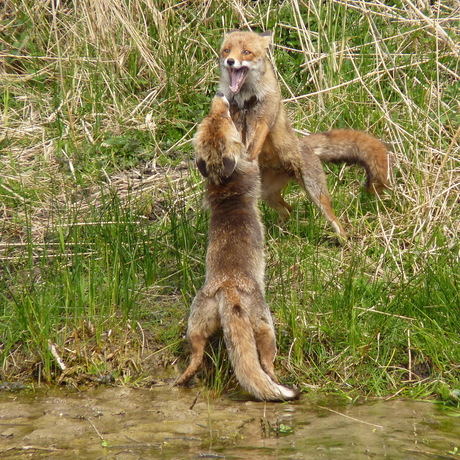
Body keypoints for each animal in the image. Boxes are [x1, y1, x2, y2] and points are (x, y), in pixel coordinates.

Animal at [175, 91, 298, 400]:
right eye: (223, 117)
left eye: (213, 116)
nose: (220, 95)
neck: (225, 187)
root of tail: (229, 287)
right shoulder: (252, 167)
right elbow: (251, 152)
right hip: (264, 322)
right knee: (266, 358)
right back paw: (278, 381)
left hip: (196, 319)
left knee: (196, 352)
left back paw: (184, 377)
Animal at [217, 30, 390, 239]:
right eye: (227, 50)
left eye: (246, 52)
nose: (230, 61)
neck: (244, 100)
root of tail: (304, 145)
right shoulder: (233, 118)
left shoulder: (264, 117)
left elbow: (256, 141)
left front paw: (248, 157)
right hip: (267, 194)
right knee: (288, 210)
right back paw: (278, 233)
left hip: (315, 193)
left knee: (333, 220)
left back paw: (343, 240)